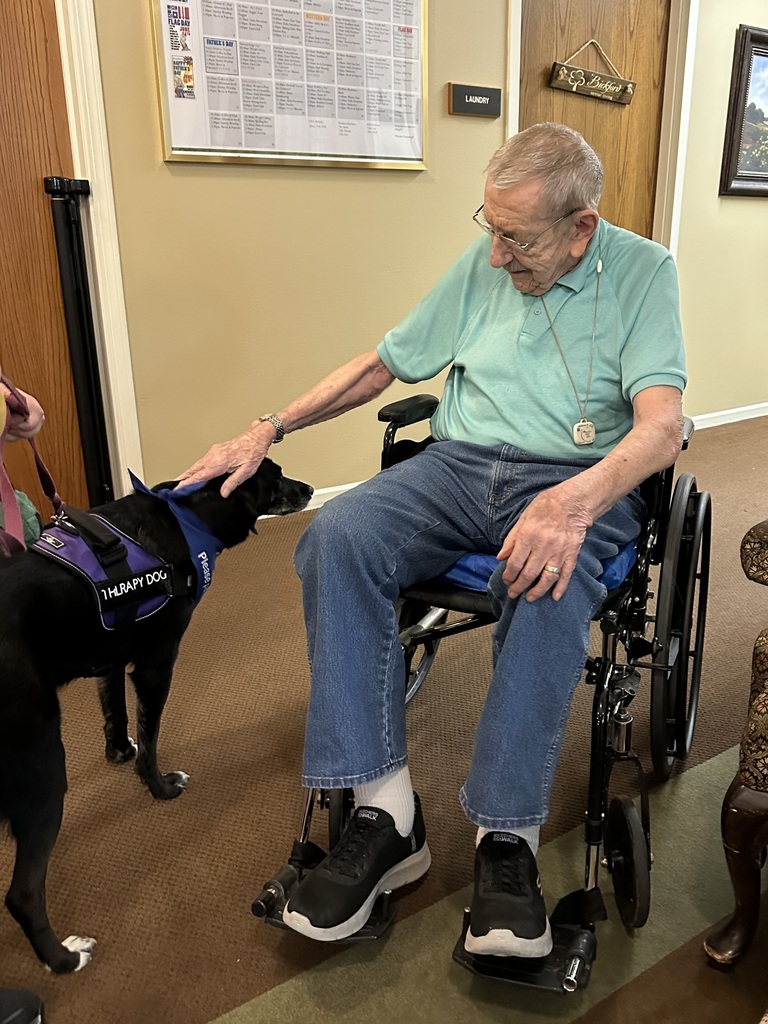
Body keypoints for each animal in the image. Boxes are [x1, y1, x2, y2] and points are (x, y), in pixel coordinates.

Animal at [0, 458, 312, 973]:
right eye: (276, 476)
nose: (307, 487)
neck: (186, 515)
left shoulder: (111, 653)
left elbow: (115, 710)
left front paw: (117, 750)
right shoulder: (156, 663)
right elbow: (151, 737)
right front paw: (160, 786)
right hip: (42, 764)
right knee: (22, 894)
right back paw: (64, 958)